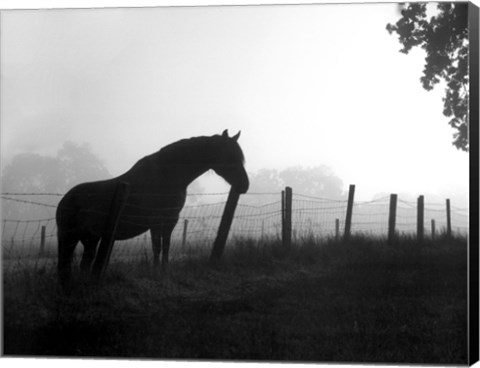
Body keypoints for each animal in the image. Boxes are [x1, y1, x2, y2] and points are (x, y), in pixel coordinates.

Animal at [57, 129, 248, 288]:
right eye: (230, 156)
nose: (245, 185)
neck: (167, 176)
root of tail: (66, 199)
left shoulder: (170, 221)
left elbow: (166, 246)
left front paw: (164, 270)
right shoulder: (157, 221)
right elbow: (157, 247)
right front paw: (156, 272)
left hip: (81, 238)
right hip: (83, 238)